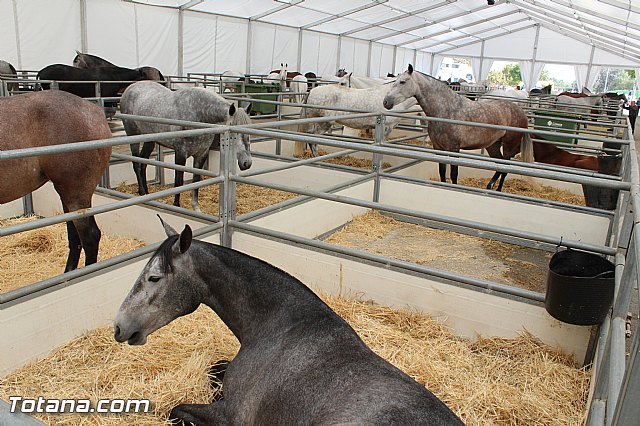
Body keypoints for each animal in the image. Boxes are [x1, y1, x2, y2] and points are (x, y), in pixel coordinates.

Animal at [113, 218, 464, 426]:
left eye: (154, 277)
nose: (119, 326)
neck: (280, 326)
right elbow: (215, 369)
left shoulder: (230, 416)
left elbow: (175, 412)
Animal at [121, 81, 252, 211]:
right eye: (234, 133)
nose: (247, 163)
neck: (198, 113)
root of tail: (130, 87)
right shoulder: (180, 153)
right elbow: (179, 181)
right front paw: (176, 205)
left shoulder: (201, 154)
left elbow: (196, 180)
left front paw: (196, 207)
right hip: (133, 135)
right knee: (136, 163)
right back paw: (143, 192)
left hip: (150, 140)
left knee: (143, 163)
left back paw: (146, 193)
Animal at [383, 65, 534, 191]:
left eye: (403, 82)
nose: (386, 102)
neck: (447, 110)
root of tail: (521, 112)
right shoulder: (439, 148)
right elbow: (442, 171)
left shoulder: (454, 148)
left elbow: (454, 174)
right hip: (493, 145)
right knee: (499, 165)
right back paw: (489, 186)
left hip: (508, 146)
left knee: (505, 167)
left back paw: (497, 190)